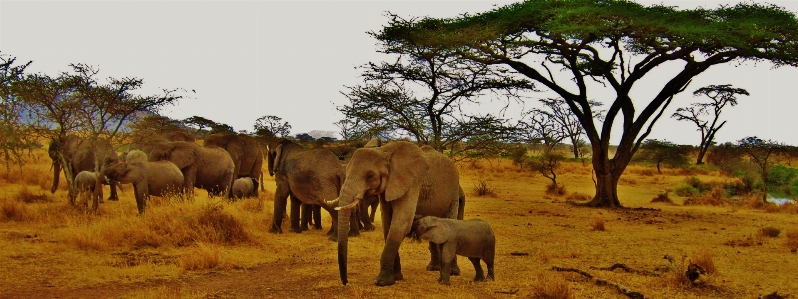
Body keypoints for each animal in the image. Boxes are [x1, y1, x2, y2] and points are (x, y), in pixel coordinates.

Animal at [332, 142, 468, 288]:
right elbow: (387, 224)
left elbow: (401, 224)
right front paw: (396, 277)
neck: (384, 151)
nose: (345, 282)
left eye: (370, 175)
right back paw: (433, 268)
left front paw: (382, 282)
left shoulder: (412, 184)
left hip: (454, 192)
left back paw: (453, 272)